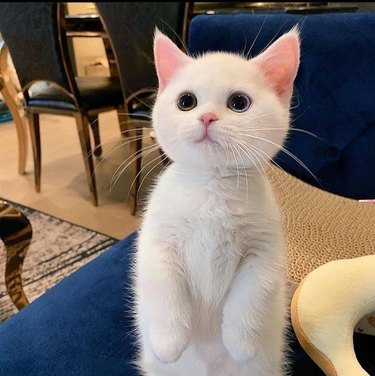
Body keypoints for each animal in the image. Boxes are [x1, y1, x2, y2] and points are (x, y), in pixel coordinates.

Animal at [134, 27, 302, 376]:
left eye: (239, 103)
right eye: (186, 101)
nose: (207, 117)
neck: (211, 190)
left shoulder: (265, 248)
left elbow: (251, 294)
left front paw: (241, 344)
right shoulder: (157, 240)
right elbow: (163, 286)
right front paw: (168, 343)